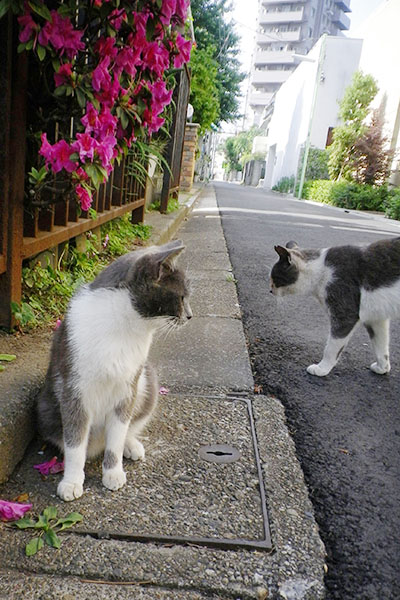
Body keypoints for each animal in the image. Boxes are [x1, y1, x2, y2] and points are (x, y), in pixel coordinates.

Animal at [37, 239, 192, 502]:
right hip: (45, 407)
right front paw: (71, 482)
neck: (125, 327)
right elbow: (75, 442)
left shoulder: (127, 388)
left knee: (127, 428)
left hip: (147, 381)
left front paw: (113, 473)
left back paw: (131, 445)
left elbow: (117, 437)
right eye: (181, 297)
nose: (190, 316)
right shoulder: (73, 390)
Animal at [268, 238, 400, 376]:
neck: (321, 269)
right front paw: (382, 367)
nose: (270, 290)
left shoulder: (345, 314)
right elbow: (380, 344)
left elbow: (332, 348)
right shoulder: (376, 318)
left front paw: (322, 368)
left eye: (274, 278)